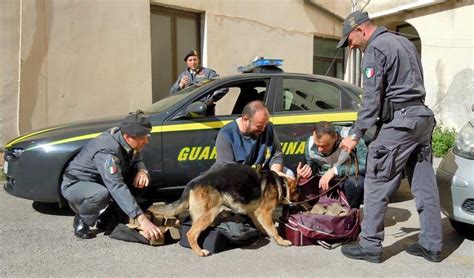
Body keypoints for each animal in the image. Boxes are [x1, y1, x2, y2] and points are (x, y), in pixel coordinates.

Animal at [151, 163, 300, 256]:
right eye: (299, 193)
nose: (297, 209)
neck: (282, 185)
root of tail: (192, 183)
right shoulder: (264, 213)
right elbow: (273, 229)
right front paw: (281, 240)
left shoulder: (255, 213)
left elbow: (261, 225)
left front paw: (264, 232)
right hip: (208, 214)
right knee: (191, 234)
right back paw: (200, 252)